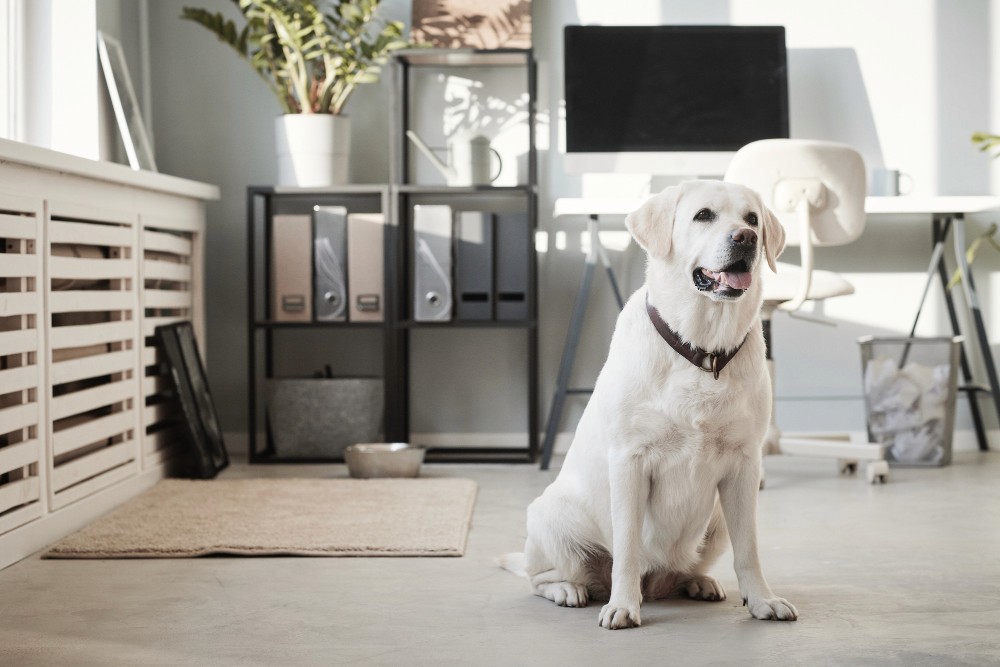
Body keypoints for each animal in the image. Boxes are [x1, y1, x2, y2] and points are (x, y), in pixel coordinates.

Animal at [500, 180, 796, 628]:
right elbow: (627, 548)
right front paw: (623, 605)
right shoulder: (629, 461)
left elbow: (749, 549)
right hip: (551, 516)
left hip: (716, 520)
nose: (746, 238)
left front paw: (763, 600)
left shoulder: (746, 465)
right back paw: (570, 589)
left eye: (752, 219)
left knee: (684, 569)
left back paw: (698, 582)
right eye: (703, 215)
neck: (701, 350)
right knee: (543, 577)